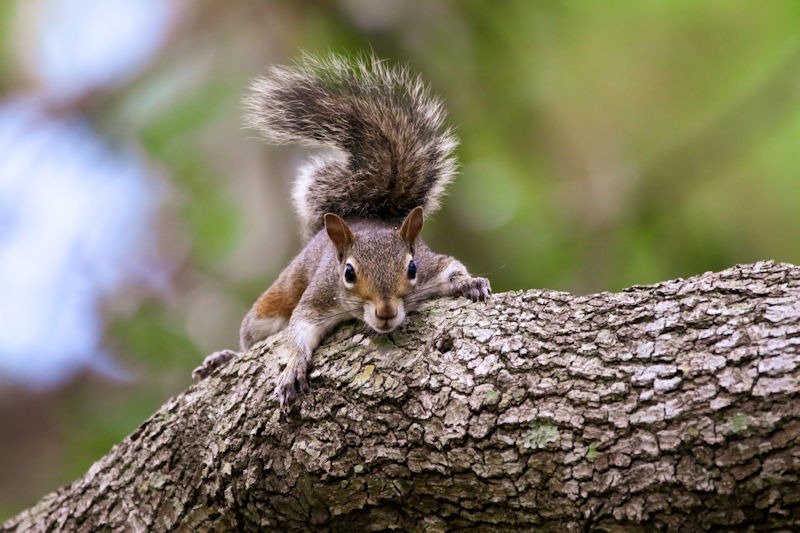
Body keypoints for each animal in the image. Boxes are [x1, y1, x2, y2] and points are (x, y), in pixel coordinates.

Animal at [193, 54, 491, 410]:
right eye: (348, 273)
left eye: (412, 268)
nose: (386, 313)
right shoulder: (319, 296)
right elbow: (298, 330)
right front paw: (294, 367)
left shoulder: (433, 264)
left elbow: (453, 268)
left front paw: (470, 284)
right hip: (271, 303)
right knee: (250, 338)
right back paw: (222, 358)